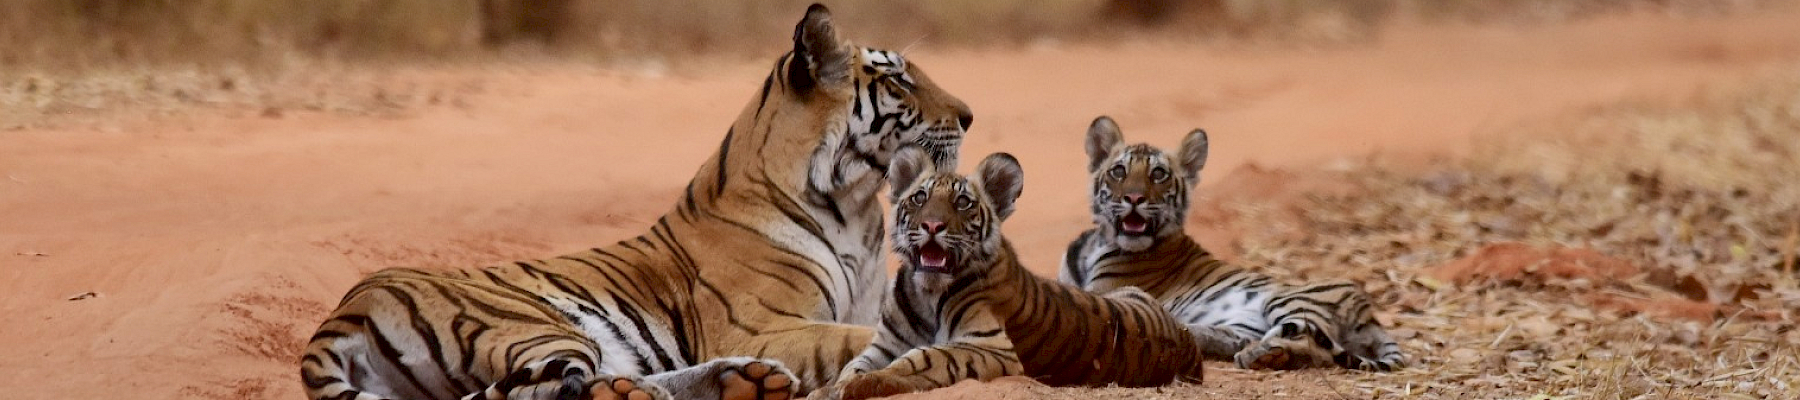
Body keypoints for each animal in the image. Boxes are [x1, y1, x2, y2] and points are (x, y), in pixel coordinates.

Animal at [299, 4, 976, 400]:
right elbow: (854, 339)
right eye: (898, 80)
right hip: (531, 325)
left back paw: (739, 382)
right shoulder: (762, 326)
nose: (970, 115)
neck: (855, 206)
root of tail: (345, 310)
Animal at [818, 149, 1206, 400]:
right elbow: (855, 364)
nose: (932, 226)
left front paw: (859, 386)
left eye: (962, 203)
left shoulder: (991, 345)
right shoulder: (883, 344)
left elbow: (923, 358)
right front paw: (831, 387)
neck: (925, 292)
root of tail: (1187, 342)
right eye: (919, 198)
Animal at [1059, 116, 1406, 371]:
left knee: (1309, 343)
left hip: (1289, 301)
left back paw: (1259, 354)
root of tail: (1368, 312)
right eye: (1119, 171)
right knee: (1239, 339)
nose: (1133, 198)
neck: (1098, 242)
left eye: (1158, 174)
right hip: (1244, 323)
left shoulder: (1104, 291)